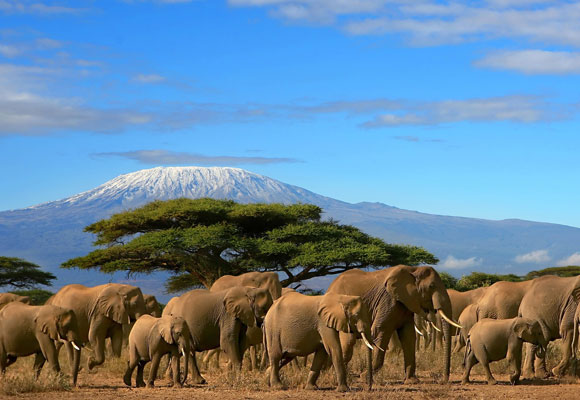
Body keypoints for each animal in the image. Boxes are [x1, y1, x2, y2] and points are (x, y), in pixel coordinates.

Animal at [324, 264, 460, 382]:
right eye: (431, 286)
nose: (444, 380)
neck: (413, 269)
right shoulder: (388, 300)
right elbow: (381, 331)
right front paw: (364, 377)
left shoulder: (405, 303)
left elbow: (408, 336)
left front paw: (411, 381)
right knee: (348, 342)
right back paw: (334, 376)